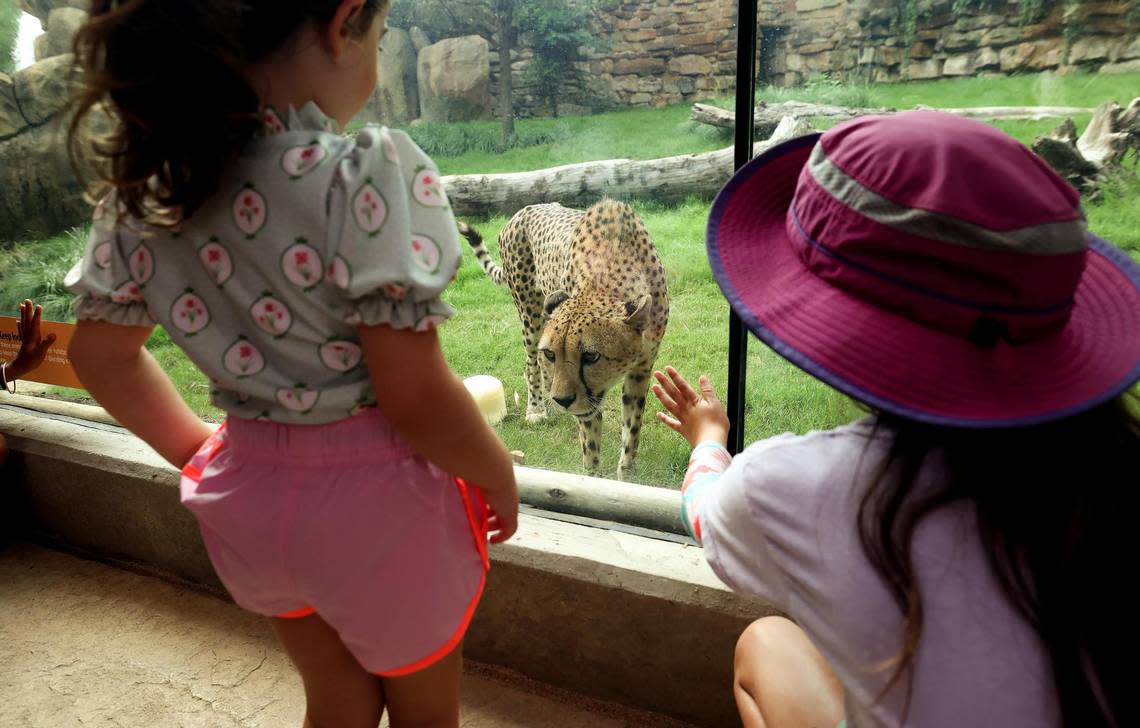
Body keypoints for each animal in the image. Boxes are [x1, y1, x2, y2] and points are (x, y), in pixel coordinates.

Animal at [458, 199, 665, 478]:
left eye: (591, 356)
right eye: (551, 353)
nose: (564, 400)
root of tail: (521, 211)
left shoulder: (642, 368)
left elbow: (632, 428)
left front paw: (626, 474)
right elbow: (590, 439)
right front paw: (592, 477)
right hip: (530, 316)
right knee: (530, 362)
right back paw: (536, 408)